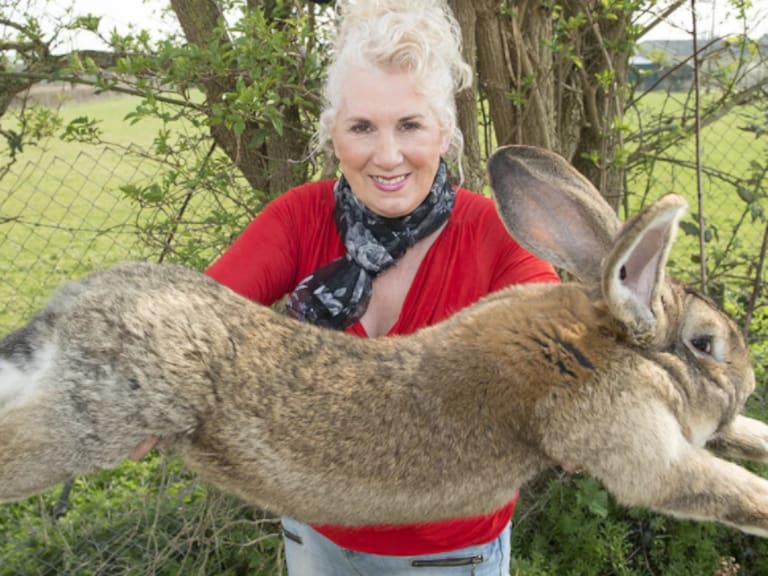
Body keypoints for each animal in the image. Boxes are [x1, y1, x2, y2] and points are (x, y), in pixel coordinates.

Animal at [2, 145, 768, 537]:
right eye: (705, 344)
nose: (749, 381)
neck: (606, 341)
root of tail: (66, 314)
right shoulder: (633, 442)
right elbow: (721, 490)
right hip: (94, 419)